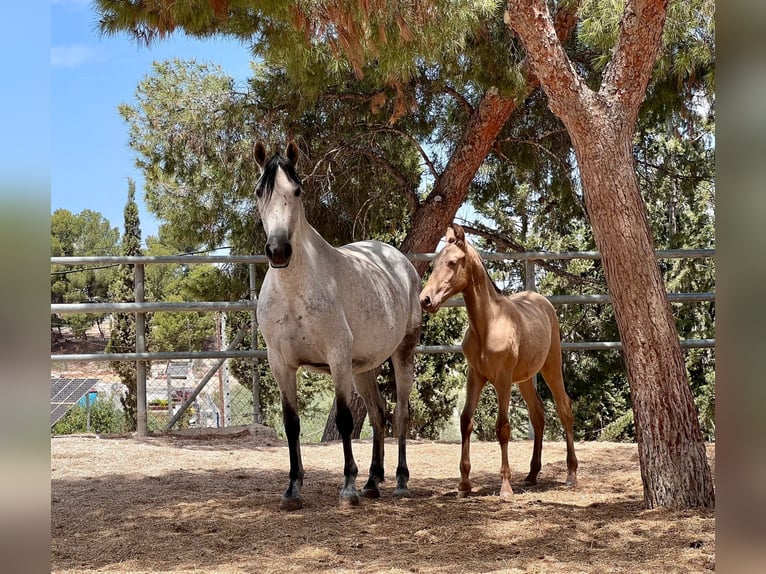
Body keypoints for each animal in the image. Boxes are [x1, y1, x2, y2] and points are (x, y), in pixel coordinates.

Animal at [424, 225, 580, 500]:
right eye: (434, 263)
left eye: (452, 262)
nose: (426, 300)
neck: (488, 324)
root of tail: (544, 302)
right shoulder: (475, 376)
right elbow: (466, 421)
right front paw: (463, 484)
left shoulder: (503, 379)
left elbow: (503, 427)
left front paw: (505, 487)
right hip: (526, 378)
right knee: (537, 414)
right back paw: (531, 474)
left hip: (551, 366)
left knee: (564, 408)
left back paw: (571, 474)